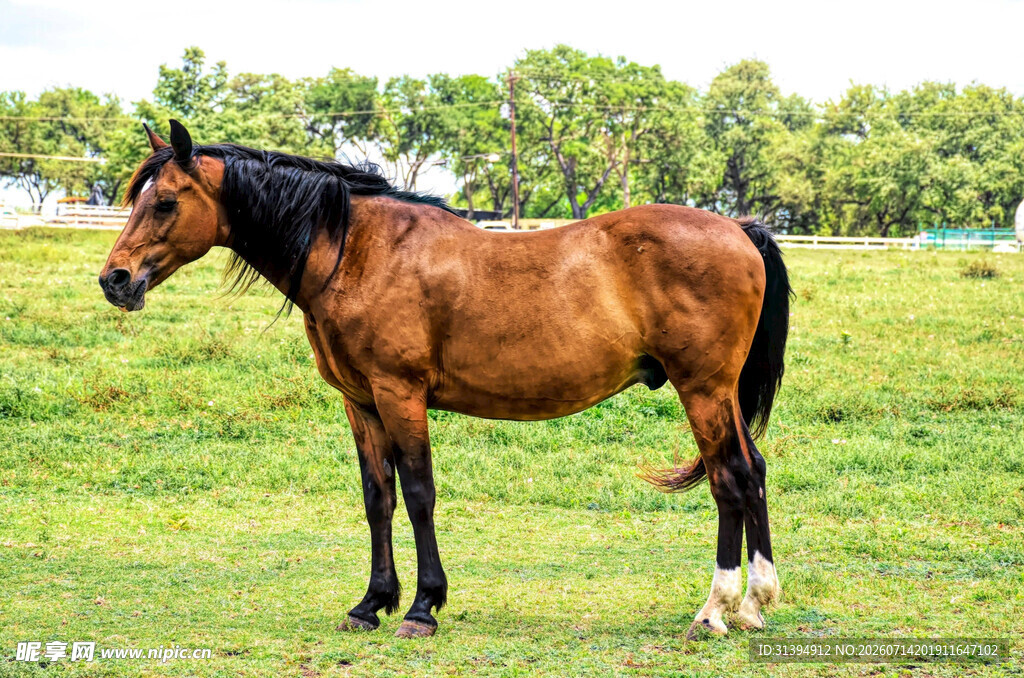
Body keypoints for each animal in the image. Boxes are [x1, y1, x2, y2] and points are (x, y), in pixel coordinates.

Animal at [99, 120, 790, 639]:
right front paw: (371, 603)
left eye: (165, 202)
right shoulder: (360, 403)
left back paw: (715, 611)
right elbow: (377, 497)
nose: (115, 280)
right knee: (752, 471)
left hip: (701, 389)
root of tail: (739, 229)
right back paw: (755, 604)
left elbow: (418, 493)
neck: (359, 252)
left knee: (730, 478)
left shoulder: (400, 394)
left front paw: (423, 607)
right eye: (137, 197)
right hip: (719, 394)